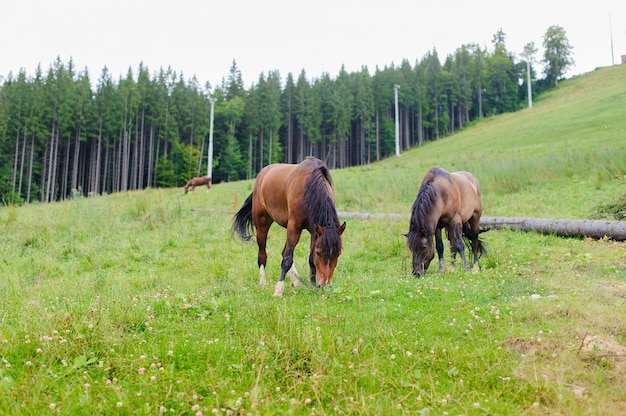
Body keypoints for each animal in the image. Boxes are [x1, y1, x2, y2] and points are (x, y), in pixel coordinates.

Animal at [232, 156, 346, 296]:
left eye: (338, 254)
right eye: (319, 253)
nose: (325, 285)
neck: (309, 187)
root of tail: (262, 174)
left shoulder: (314, 230)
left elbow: (309, 259)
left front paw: (312, 285)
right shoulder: (294, 227)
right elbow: (287, 259)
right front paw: (278, 290)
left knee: (283, 252)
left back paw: (296, 282)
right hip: (262, 225)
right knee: (263, 255)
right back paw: (263, 283)